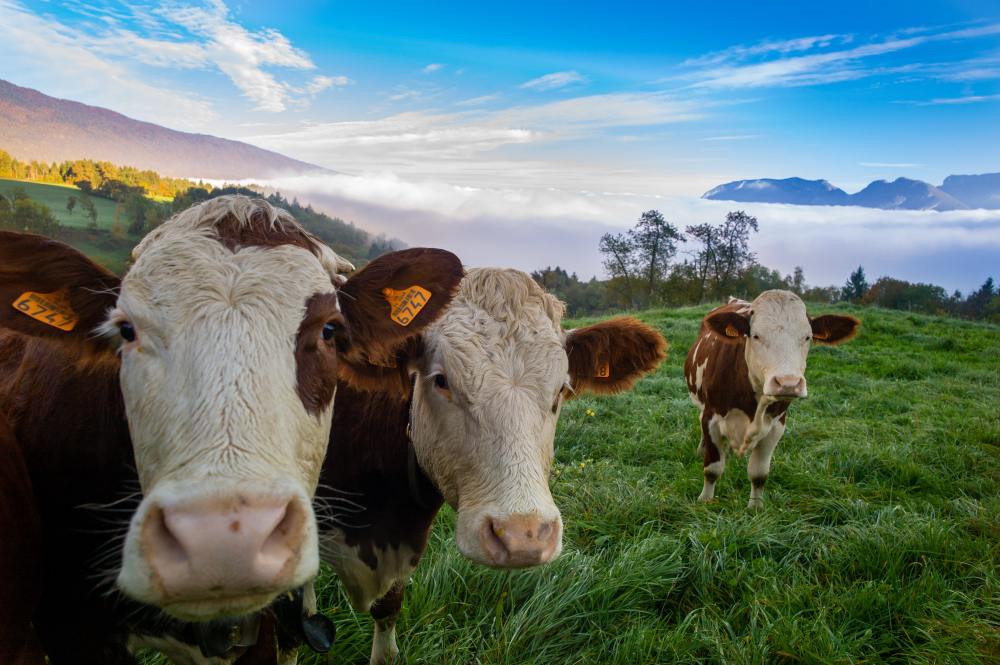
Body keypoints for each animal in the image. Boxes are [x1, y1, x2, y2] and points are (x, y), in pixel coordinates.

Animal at [688, 290, 860, 508]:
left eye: (807, 337)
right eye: (756, 336)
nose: (788, 383)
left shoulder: (776, 427)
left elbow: (759, 474)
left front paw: (755, 508)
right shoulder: (711, 419)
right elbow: (712, 469)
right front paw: (705, 501)